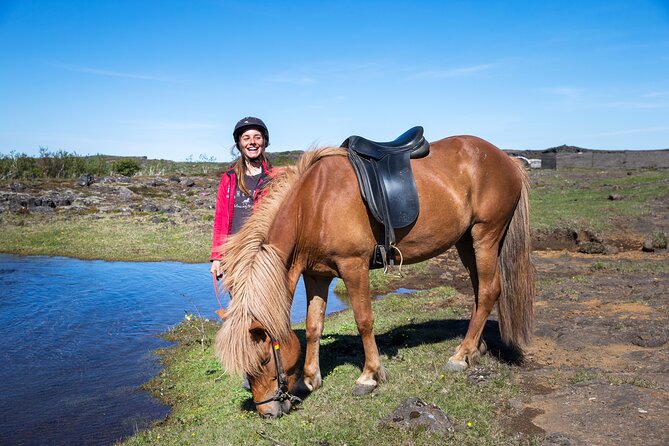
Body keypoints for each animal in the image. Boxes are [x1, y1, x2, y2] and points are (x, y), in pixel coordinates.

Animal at [217, 136, 536, 418]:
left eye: (263, 359)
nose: (267, 412)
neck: (313, 205)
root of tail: (506, 159)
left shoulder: (353, 267)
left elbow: (363, 321)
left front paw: (369, 376)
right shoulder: (316, 275)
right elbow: (313, 325)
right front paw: (309, 379)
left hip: (485, 235)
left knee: (489, 290)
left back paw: (461, 355)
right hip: (466, 242)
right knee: (480, 290)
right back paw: (475, 348)